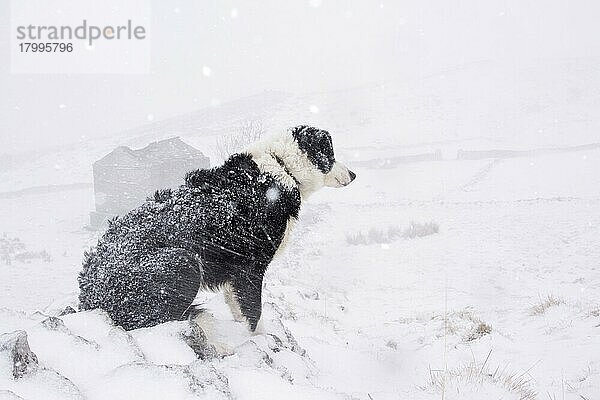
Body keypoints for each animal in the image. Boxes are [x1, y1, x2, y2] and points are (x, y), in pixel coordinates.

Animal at [77, 126, 354, 332]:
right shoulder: (251, 267)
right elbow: (254, 312)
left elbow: (241, 310)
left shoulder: (236, 272)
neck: (281, 168)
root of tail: (87, 294)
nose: (353, 174)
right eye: (331, 153)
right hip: (183, 261)